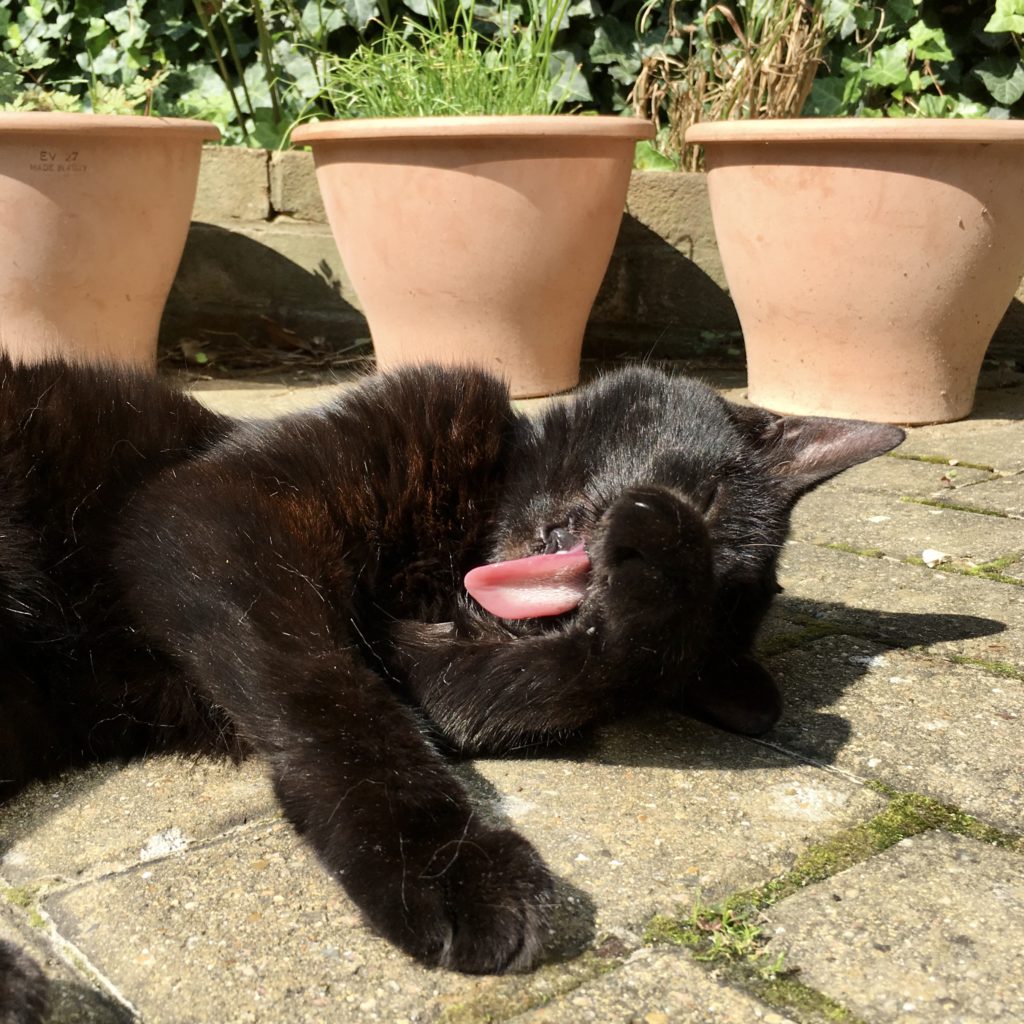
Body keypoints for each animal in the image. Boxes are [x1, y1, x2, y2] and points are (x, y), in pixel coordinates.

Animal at [0, 358, 897, 1015]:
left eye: (688, 654)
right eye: (708, 500)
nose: (589, 590)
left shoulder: (438, 671)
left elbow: (481, 692)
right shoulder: (210, 512)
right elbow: (328, 691)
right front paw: (446, 864)